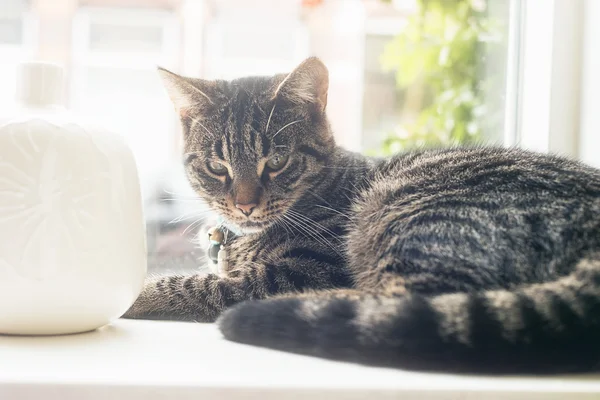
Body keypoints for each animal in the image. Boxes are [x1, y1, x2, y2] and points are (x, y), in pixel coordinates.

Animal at [125, 57, 600, 376]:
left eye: (276, 161)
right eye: (216, 166)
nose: (244, 204)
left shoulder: (308, 267)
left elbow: (206, 285)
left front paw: (142, 292)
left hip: (408, 214)